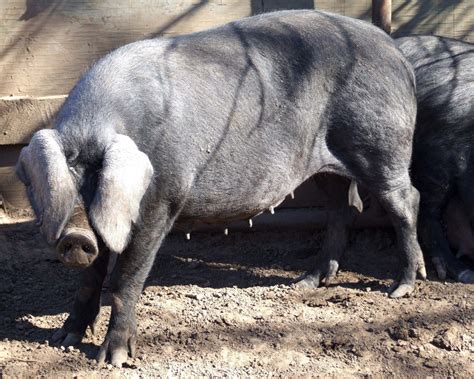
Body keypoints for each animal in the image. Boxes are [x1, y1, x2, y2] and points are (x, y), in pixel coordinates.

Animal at [17, 11, 426, 368]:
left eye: (100, 181)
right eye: (68, 184)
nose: (76, 237)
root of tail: (395, 52)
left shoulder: (162, 200)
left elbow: (125, 280)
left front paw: (112, 360)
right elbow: (90, 278)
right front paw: (63, 339)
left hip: (381, 144)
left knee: (405, 200)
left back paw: (401, 287)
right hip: (326, 165)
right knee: (343, 209)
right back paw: (307, 283)